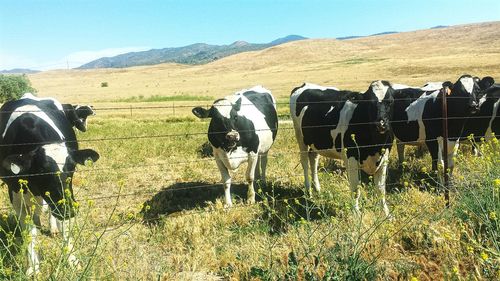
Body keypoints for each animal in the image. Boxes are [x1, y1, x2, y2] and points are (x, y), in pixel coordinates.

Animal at [0, 94, 99, 274]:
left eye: (72, 167)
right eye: (41, 170)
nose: (69, 209)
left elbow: (65, 227)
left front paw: (72, 259)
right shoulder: (16, 195)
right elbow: (29, 232)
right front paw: (33, 267)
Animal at [292, 81, 396, 217]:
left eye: (390, 101)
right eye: (369, 102)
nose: (381, 124)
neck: (374, 145)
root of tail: (304, 84)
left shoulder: (384, 158)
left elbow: (381, 189)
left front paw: (386, 214)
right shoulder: (351, 159)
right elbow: (355, 188)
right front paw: (357, 213)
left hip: (317, 142)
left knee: (313, 158)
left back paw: (317, 189)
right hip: (300, 137)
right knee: (304, 162)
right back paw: (308, 191)